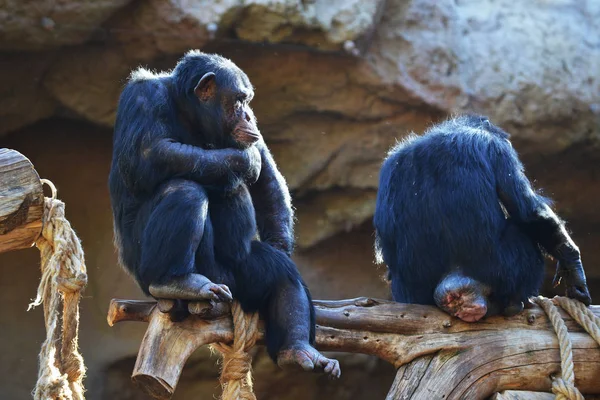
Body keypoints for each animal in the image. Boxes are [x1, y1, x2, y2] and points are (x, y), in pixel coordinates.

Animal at [108, 50, 340, 378]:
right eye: (239, 99)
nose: (248, 114)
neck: (188, 113)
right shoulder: (142, 97)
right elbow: (151, 152)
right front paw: (245, 160)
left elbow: (268, 178)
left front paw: (280, 246)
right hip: (163, 270)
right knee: (185, 190)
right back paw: (177, 280)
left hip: (240, 276)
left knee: (282, 276)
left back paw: (297, 350)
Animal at [376, 115, 592, 322]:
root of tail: (451, 286)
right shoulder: (496, 149)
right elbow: (530, 211)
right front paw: (573, 269)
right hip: (506, 268)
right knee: (523, 231)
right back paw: (516, 303)